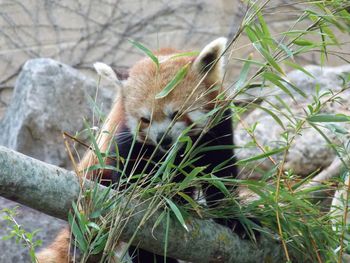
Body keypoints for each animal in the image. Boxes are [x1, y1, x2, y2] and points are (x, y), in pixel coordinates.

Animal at [36, 37, 238, 263]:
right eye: (145, 119)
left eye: (176, 114)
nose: (163, 138)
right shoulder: (126, 141)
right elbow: (131, 184)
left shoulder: (217, 127)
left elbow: (220, 172)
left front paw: (236, 218)